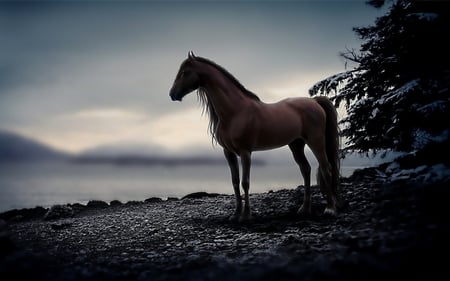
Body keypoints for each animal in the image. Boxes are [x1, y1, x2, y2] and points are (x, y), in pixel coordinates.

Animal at [170, 50, 342, 221]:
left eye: (185, 72)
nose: (172, 94)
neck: (235, 112)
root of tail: (315, 102)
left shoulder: (245, 152)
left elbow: (245, 182)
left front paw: (246, 215)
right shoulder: (228, 153)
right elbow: (235, 182)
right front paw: (235, 214)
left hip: (316, 141)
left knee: (326, 169)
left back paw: (330, 209)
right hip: (296, 144)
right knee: (305, 169)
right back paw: (304, 209)